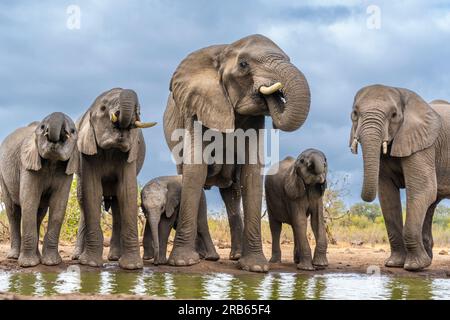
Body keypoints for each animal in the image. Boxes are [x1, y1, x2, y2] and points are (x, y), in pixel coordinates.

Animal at [0, 112, 77, 268]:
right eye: (42, 127)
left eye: (73, 131)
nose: (47, 130)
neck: (52, 160)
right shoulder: (27, 164)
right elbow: (29, 202)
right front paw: (28, 265)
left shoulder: (66, 168)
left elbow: (58, 205)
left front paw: (52, 263)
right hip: (3, 176)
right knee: (13, 212)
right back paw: (14, 257)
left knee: (39, 214)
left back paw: (38, 257)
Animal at [73, 87, 156, 270]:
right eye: (103, 108)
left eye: (140, 111)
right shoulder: (88, 149)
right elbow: (92, 191)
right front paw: (90, 264)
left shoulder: (131, 152)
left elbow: (127, 191)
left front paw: (132, 267)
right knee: (82, 201)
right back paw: (77, 257)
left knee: (118, 205)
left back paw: (114, 257)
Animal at [163, 33, 312, 272]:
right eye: (243, 64)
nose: (275, 95)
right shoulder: (196, 110)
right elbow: (195, 172)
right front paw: (183, 263)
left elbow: (251, 174)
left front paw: (255, 267)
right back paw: (206, 257)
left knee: (232, 196)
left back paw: (235, 256)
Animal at [350, 84, 450, 272]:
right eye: (354, 113)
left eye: (394, 115)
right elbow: (387, 194)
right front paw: (394, 264)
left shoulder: (423, 145)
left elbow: (423, 189)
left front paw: (414, 266)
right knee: (431, 204)